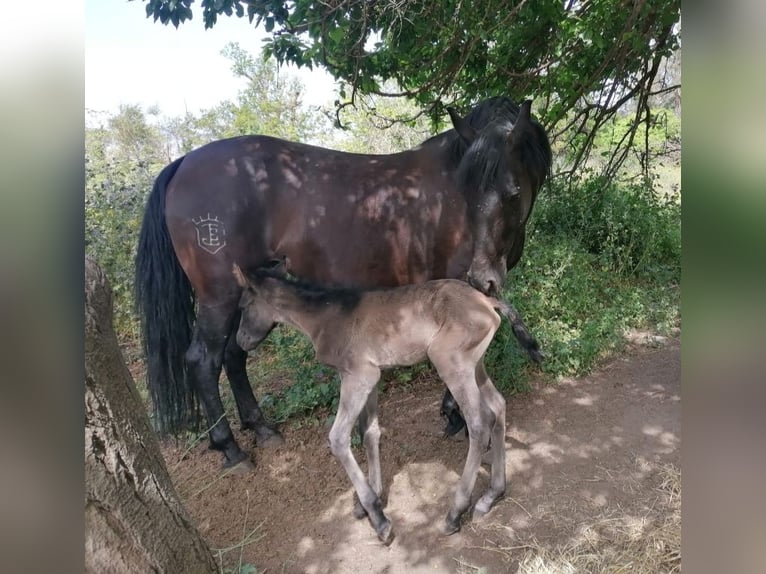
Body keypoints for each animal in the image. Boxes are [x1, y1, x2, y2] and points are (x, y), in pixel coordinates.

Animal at [134, 97, 552, 470]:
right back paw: (231, 450)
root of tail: (184, 162)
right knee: (204, 360)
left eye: (512, 192)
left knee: (235, 355)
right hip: (218, 296)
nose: (484, 276)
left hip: (250, 296)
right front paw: (456, 417)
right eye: (465, 192)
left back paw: (263, 430)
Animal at [232, 260, 542, 542]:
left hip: (451, 363)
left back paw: (455, 513)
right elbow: (369, 432)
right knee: (498, 405)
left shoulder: (358, 376)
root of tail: (487, 301)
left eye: (243, 307)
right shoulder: (371, 377)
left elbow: (338, 437)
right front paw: (373, 499)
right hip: (475, 366)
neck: (327, 315)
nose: (240, 341)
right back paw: (491, 495)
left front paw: (378, 517)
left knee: (479, 421)